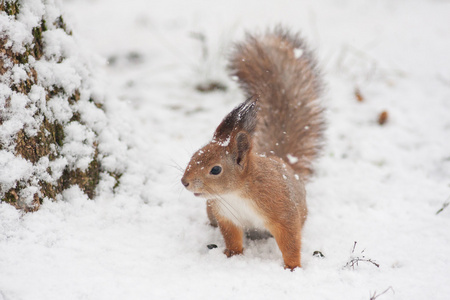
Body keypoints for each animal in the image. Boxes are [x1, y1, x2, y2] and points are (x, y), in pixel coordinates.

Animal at [181, 27, 326, 270]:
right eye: (194, 155)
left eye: (215, 169)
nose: (185, 182)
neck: (238, 192)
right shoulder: (225, 215)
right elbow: (232, 237)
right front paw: (232, 254)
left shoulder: (282, 210)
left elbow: (290, 240)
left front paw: (292, 267)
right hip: (211, 211)